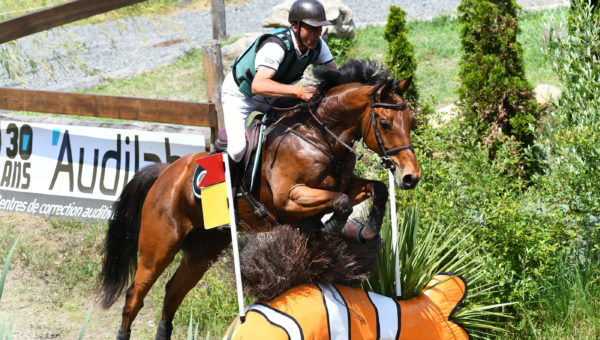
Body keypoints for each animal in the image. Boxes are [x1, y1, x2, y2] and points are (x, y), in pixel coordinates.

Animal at [99, 59, 422, 338]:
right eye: (385, 123)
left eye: (411, 121)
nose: (411, 177)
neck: (318, 136)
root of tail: (166, 173)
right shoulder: (290, 198)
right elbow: (340, 201)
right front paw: (329, 230)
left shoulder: (345, 184)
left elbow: (375, 189)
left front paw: (366, 231)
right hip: (159, 246)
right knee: (135, 294)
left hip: (202, 250)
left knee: (173, 291)